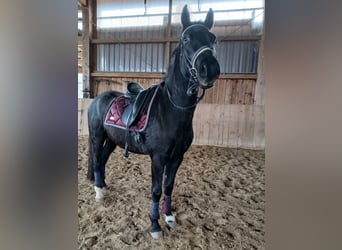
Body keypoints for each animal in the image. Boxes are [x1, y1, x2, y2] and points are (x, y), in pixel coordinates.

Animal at [87, 5, 220, 240]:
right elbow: (156, 190)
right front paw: (155, 225)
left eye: (212, 38)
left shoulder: (177, 157)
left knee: (102, 160)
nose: (210, 68)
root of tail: (98, 99)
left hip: (112, 140)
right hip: (97, 136)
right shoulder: (158, 158)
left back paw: (102, 186)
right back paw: (98, 193)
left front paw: (169, 217)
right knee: (95, 160)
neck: (171, 110)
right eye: (186, 38)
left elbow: (168, 186)